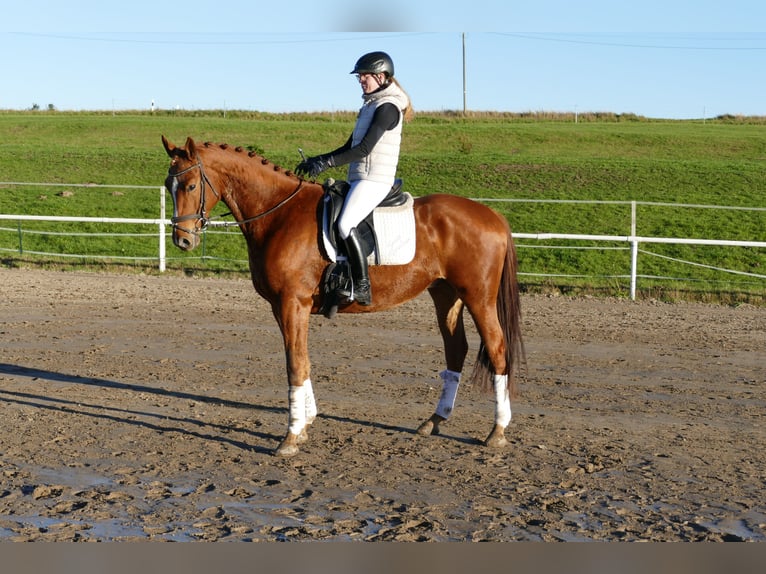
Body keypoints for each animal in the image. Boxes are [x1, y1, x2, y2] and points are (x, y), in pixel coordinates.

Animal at [162, 136, 524, 457]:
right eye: (168, 186)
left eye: (191, 186)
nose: (183, 240)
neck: (278, 213)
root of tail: (493, 215)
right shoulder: (283, 307)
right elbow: (301, 359)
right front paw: (305, 425)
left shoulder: (292, 303)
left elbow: (295, 364)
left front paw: (290, 438)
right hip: (446, 295)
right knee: (456, 350)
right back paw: (434, 421)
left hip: (478, 297)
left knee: (497, 349)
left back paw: (497, 431)